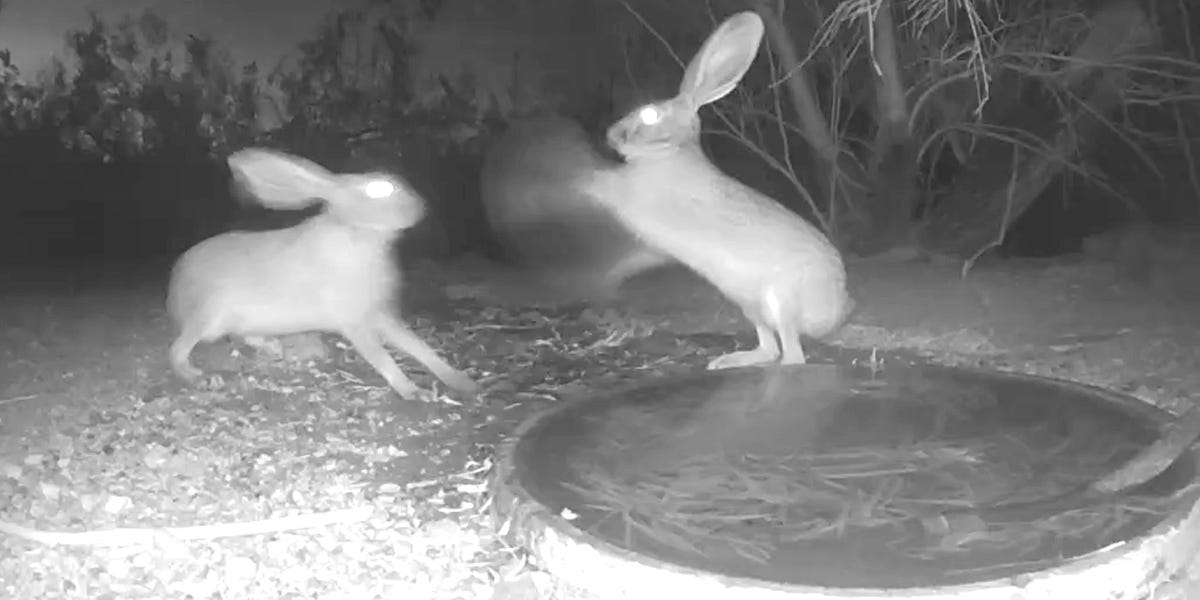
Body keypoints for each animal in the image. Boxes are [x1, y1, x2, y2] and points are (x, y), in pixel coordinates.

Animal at [166, 148, 477, 400]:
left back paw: (273, 347)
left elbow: (419, 346)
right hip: (206, 314)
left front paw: (461, 381)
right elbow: (381, 357)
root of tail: (173, 291)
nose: (420, 206)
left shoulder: (380, 314)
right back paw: (201, 377)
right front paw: (413, 391)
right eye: (379, 189)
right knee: (177, 350)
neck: (358, 232)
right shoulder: (355, 321)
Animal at [570, 11, 854, 370]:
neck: (670, 153)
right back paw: (728, 361)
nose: (611, 134)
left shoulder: (630, 192)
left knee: (791, 354)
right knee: (770, 347)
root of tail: (833, 315)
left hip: (781, 299)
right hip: (752, 307)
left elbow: (598, 182)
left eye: (650, 114)